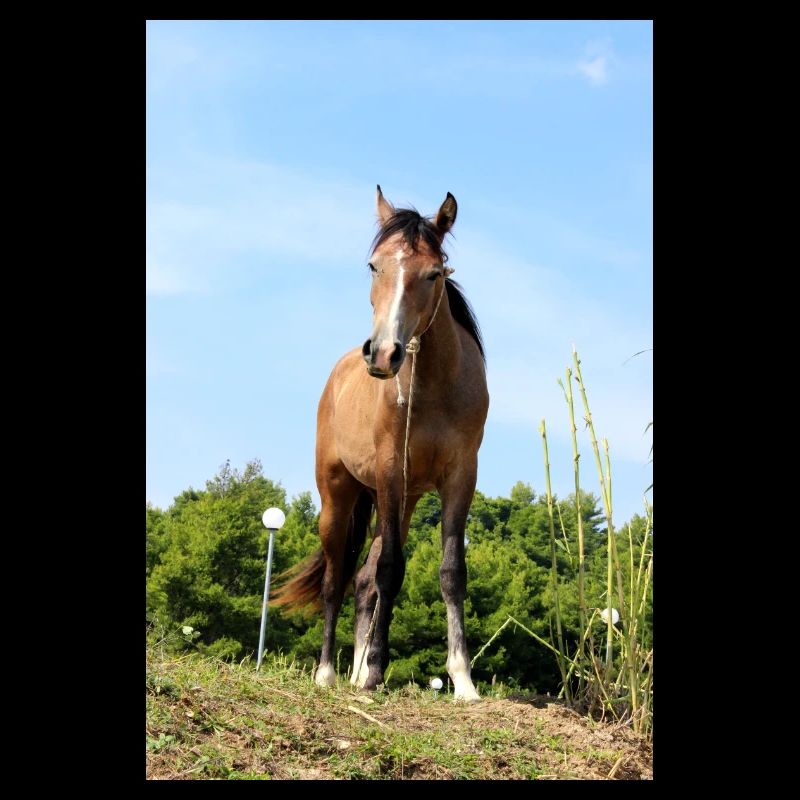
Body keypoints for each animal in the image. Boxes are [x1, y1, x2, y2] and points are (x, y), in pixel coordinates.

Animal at [272, 186, 489, 702]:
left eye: (433, 273)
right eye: (374, 266)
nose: (384, 353)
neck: (433, 386)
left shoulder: (460, 477)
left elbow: (450, 572)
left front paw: (463, 679)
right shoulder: (391, 472)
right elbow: (391, 570)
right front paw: (374, 672)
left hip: (401, 502)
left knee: (363, 581)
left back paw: (353, 670)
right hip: (339, 497)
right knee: (337, 581)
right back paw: (330, 672)